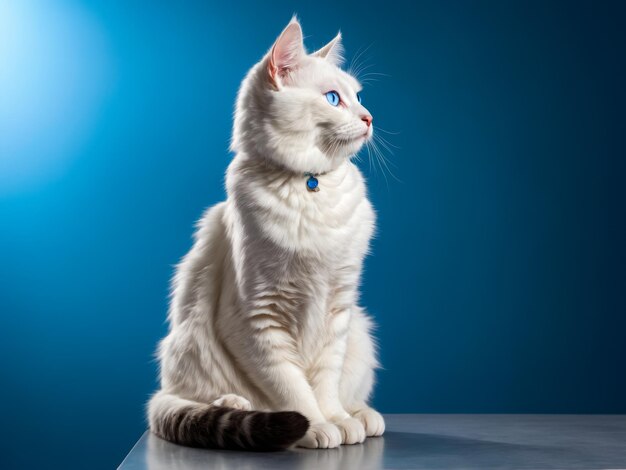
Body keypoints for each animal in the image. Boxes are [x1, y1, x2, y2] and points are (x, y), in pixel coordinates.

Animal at [149, 17, 382, 452]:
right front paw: (316, 427)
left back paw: (361, 415)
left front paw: (338, 421)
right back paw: (235, 403)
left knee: (348, 391)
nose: (369, 118)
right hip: (191, 348)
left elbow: (325, 383)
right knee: (201, 398)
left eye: (358, 97)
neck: (310, 186)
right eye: (333, 99)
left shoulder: (338, 311)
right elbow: (291, 388)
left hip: (360, 331)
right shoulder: (257, 319)